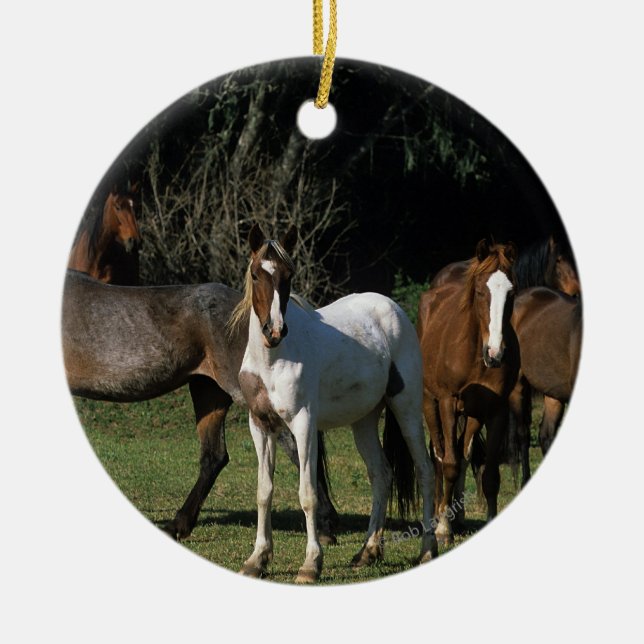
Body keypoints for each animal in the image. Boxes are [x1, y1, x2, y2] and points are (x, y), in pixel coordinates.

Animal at [232, 223, 438, 583]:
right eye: (257, 274)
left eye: (287, 275)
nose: (275, 330)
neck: (273, 359)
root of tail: (393, 309)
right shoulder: (260, 425)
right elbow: (263, 492)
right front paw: (257, 559)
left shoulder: (303, 424)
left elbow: (308, 494)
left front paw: (311, 564)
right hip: (364, 421)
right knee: (381, 474)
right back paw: (367, 552)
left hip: (407, 408)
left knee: (425, 471)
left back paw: (427, 550)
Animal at [417, 240, 520, 544]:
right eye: (480, 291)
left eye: (512, 292)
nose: (495, 353)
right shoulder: (448, 403)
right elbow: (449, 464)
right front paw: (443, 530)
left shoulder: (497, 410)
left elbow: (490, 475)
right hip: (430, 404)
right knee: (439, 456)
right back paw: (438, 516)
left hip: (473, 414)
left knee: (464, 454)